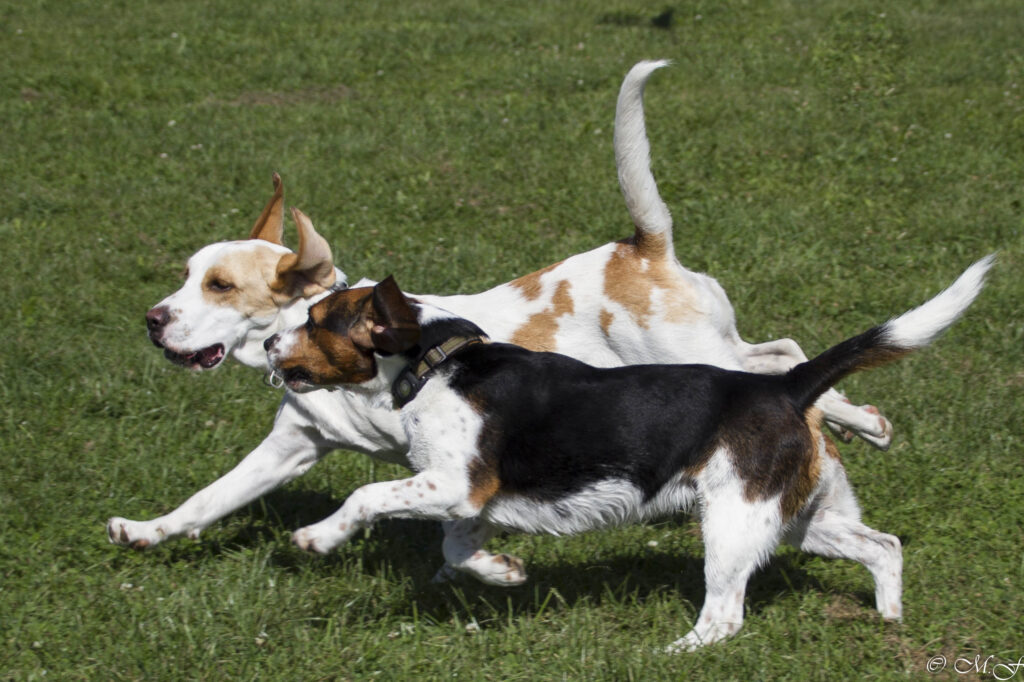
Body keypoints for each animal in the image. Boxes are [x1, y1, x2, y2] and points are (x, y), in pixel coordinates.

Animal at [112, 61, 892, 581]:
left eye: (218, 286)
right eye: (187, 273)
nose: (152, 320)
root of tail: (640, 245)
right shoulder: (292, 446)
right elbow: (206, 500)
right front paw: (145, 531)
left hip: (696, 352)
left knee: (790, 366)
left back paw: (864, 421)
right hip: (713, 345)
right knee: (785, 352)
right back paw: (863, 421)